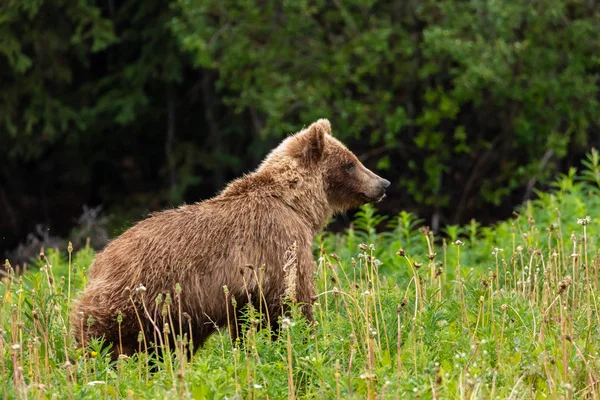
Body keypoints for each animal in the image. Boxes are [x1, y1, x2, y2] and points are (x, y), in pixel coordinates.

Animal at [70, 119, 390, 356]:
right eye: (350, 163)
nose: (383, 183)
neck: (297, 205)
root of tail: (100, 259)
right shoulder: (280, 244)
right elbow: (293, 298)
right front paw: (304, 339)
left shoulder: (244, 287)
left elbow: (246, 322)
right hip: (137, 296)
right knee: (100, 335)